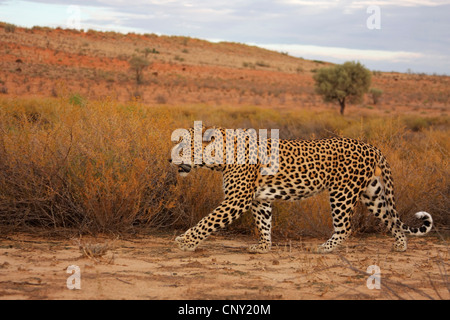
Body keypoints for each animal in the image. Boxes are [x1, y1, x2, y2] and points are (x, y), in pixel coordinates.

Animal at [169, 124, 432, 252]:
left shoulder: (237, 199)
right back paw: (400, 246)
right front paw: (263, 247)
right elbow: (264, 223)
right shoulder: (259, 199)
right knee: (392, 219)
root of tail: (371, 146)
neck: (218, 157)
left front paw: (185, 242)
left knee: (345, 226)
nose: (169, 159)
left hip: (342, 192)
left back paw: (325, 248)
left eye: (182, 146)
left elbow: (207, 221)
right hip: (372, 193)